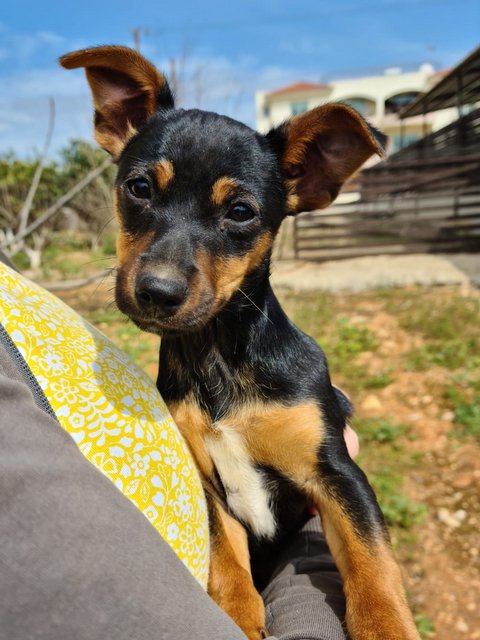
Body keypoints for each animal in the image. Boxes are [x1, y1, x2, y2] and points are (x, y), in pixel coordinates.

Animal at [61, 46, 420, 640]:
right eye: (139, 188)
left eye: (240, 212)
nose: (156, 291)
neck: (218, 354)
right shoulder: (207, 484)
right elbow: (225, 559)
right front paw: (238, 613)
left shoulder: (338, 473)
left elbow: (373, 565)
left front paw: (386, 626)